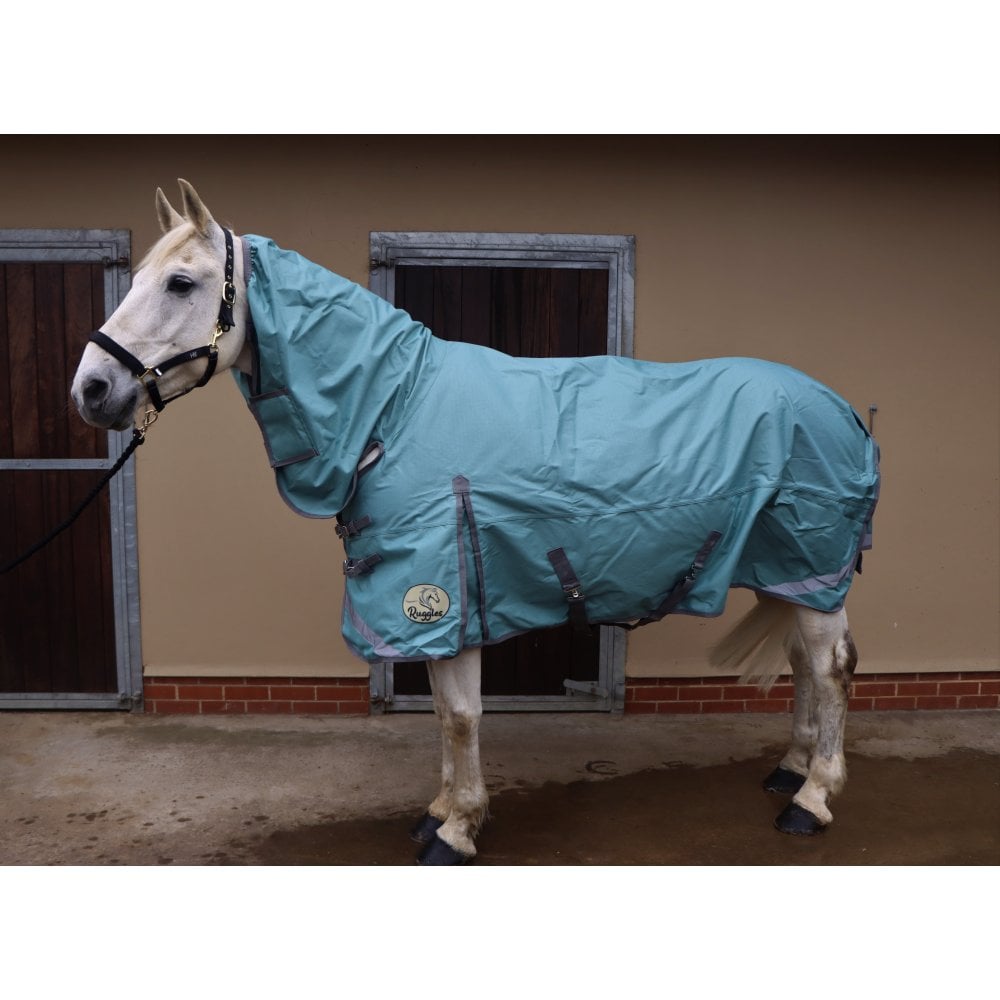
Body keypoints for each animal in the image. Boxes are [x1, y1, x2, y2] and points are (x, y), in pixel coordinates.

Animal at [71, 180, 880, 864]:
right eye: (136, 278)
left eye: (181, 282)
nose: (92, 389)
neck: (393, 410)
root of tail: (842, 409)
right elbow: (440, 715)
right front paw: (439, 810)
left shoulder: (442, 596)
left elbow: (460, 715)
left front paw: (456, 829)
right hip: (787, 570)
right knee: (804, 663)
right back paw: (790, 769)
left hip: (815, 565)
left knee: (832, 668)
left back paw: (811, 798)